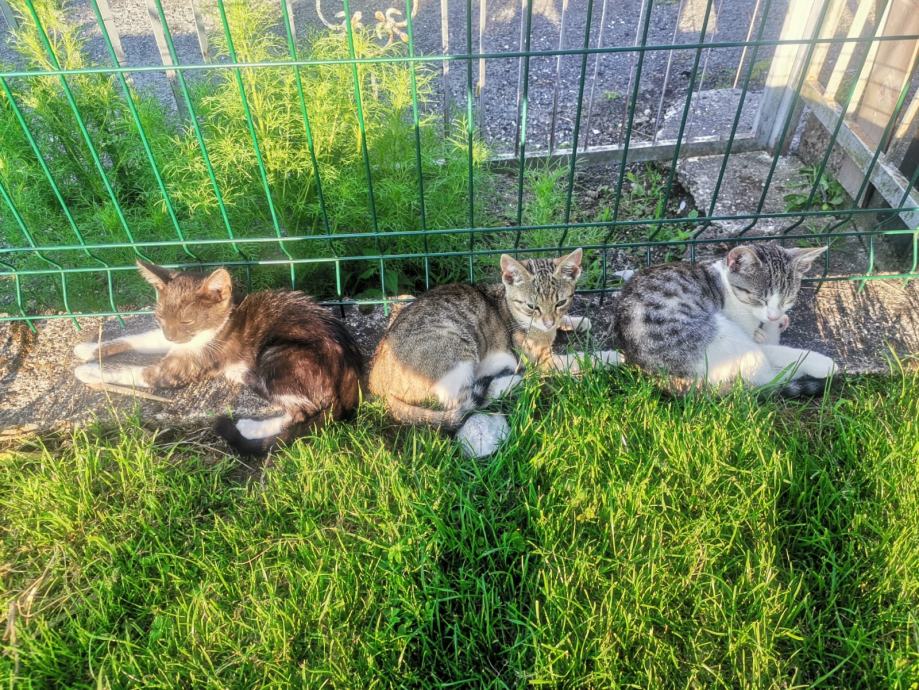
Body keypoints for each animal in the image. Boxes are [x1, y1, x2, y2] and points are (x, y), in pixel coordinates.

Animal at [73, 260, 363, 455]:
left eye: (187, 320)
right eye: (160, 317)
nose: (171, 336)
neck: (218, 326)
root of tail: (352, 377)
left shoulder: (183, 365)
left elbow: (138, 372)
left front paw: (88, 371)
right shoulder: (174, 343)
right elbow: (143, 338)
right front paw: (88, 349)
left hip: (276, 357)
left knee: (304, 410)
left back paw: (249, 427)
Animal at [368, 248, 618, 457]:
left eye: (561, 303)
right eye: (532, 307)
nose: (548, 322)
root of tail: (376, 384)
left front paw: (576, 321)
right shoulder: (542, 360)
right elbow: (581, 359)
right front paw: (613, 356)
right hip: (456, 348)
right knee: (462, 402)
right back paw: (512, 382)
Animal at [608, 242, 837, 396]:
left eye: (788, 298)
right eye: (759, 299)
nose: (774, 315)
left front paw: (771, 324)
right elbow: (772, 350)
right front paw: (823, 362)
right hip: (716, 337)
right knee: (767, 376)